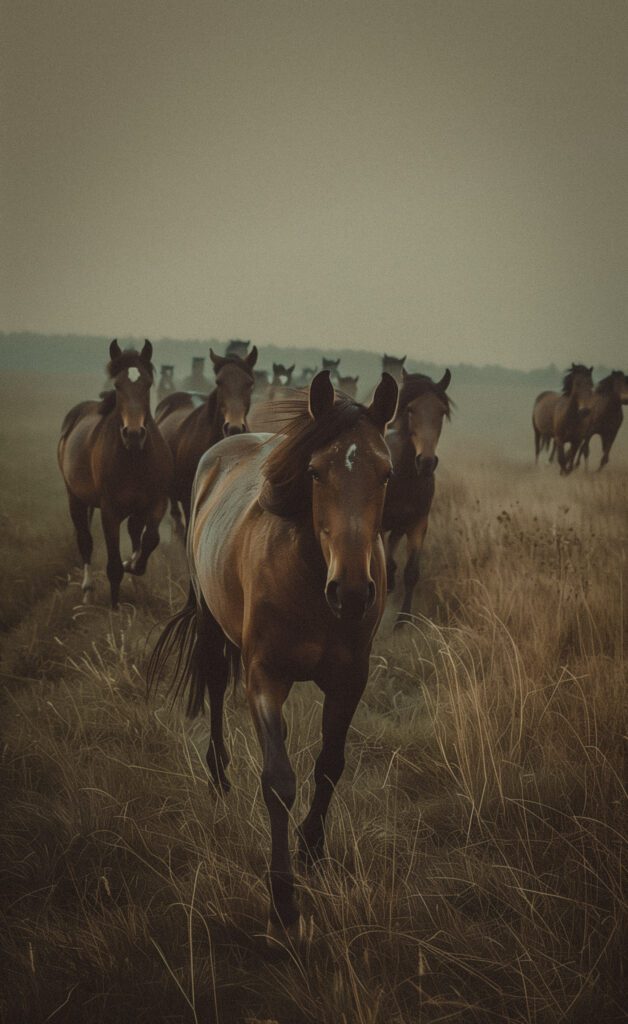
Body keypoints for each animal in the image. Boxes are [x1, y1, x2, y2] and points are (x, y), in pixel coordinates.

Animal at [57, 339, 173, 606]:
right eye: (118, 386)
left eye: (147, 384)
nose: (134, 434)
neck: (134, 458)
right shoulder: (110, 511)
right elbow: (113, 566)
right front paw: (114, 608)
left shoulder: (156, 502)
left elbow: (150, 539)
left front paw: (134, 565)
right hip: (75, 499)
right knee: (85, 541)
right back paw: (87, 591)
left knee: (134, 532)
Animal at [145, 368, 397, 942]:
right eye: (316, 472)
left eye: (387, 474)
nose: (352, 592)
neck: (310, 580)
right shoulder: (265, 678)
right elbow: (279, 781)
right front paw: (283, 904)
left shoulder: (350, 681)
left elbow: (329, 766)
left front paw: (312, 851)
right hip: (212, 625)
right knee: (216, 684)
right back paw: (218, 776)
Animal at [381, 368, 450, 622]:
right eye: (410, 409)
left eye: (441, 411)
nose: (427, 462)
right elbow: (386, 564)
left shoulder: (419, 523)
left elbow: (411, 572)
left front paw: (403, 621)